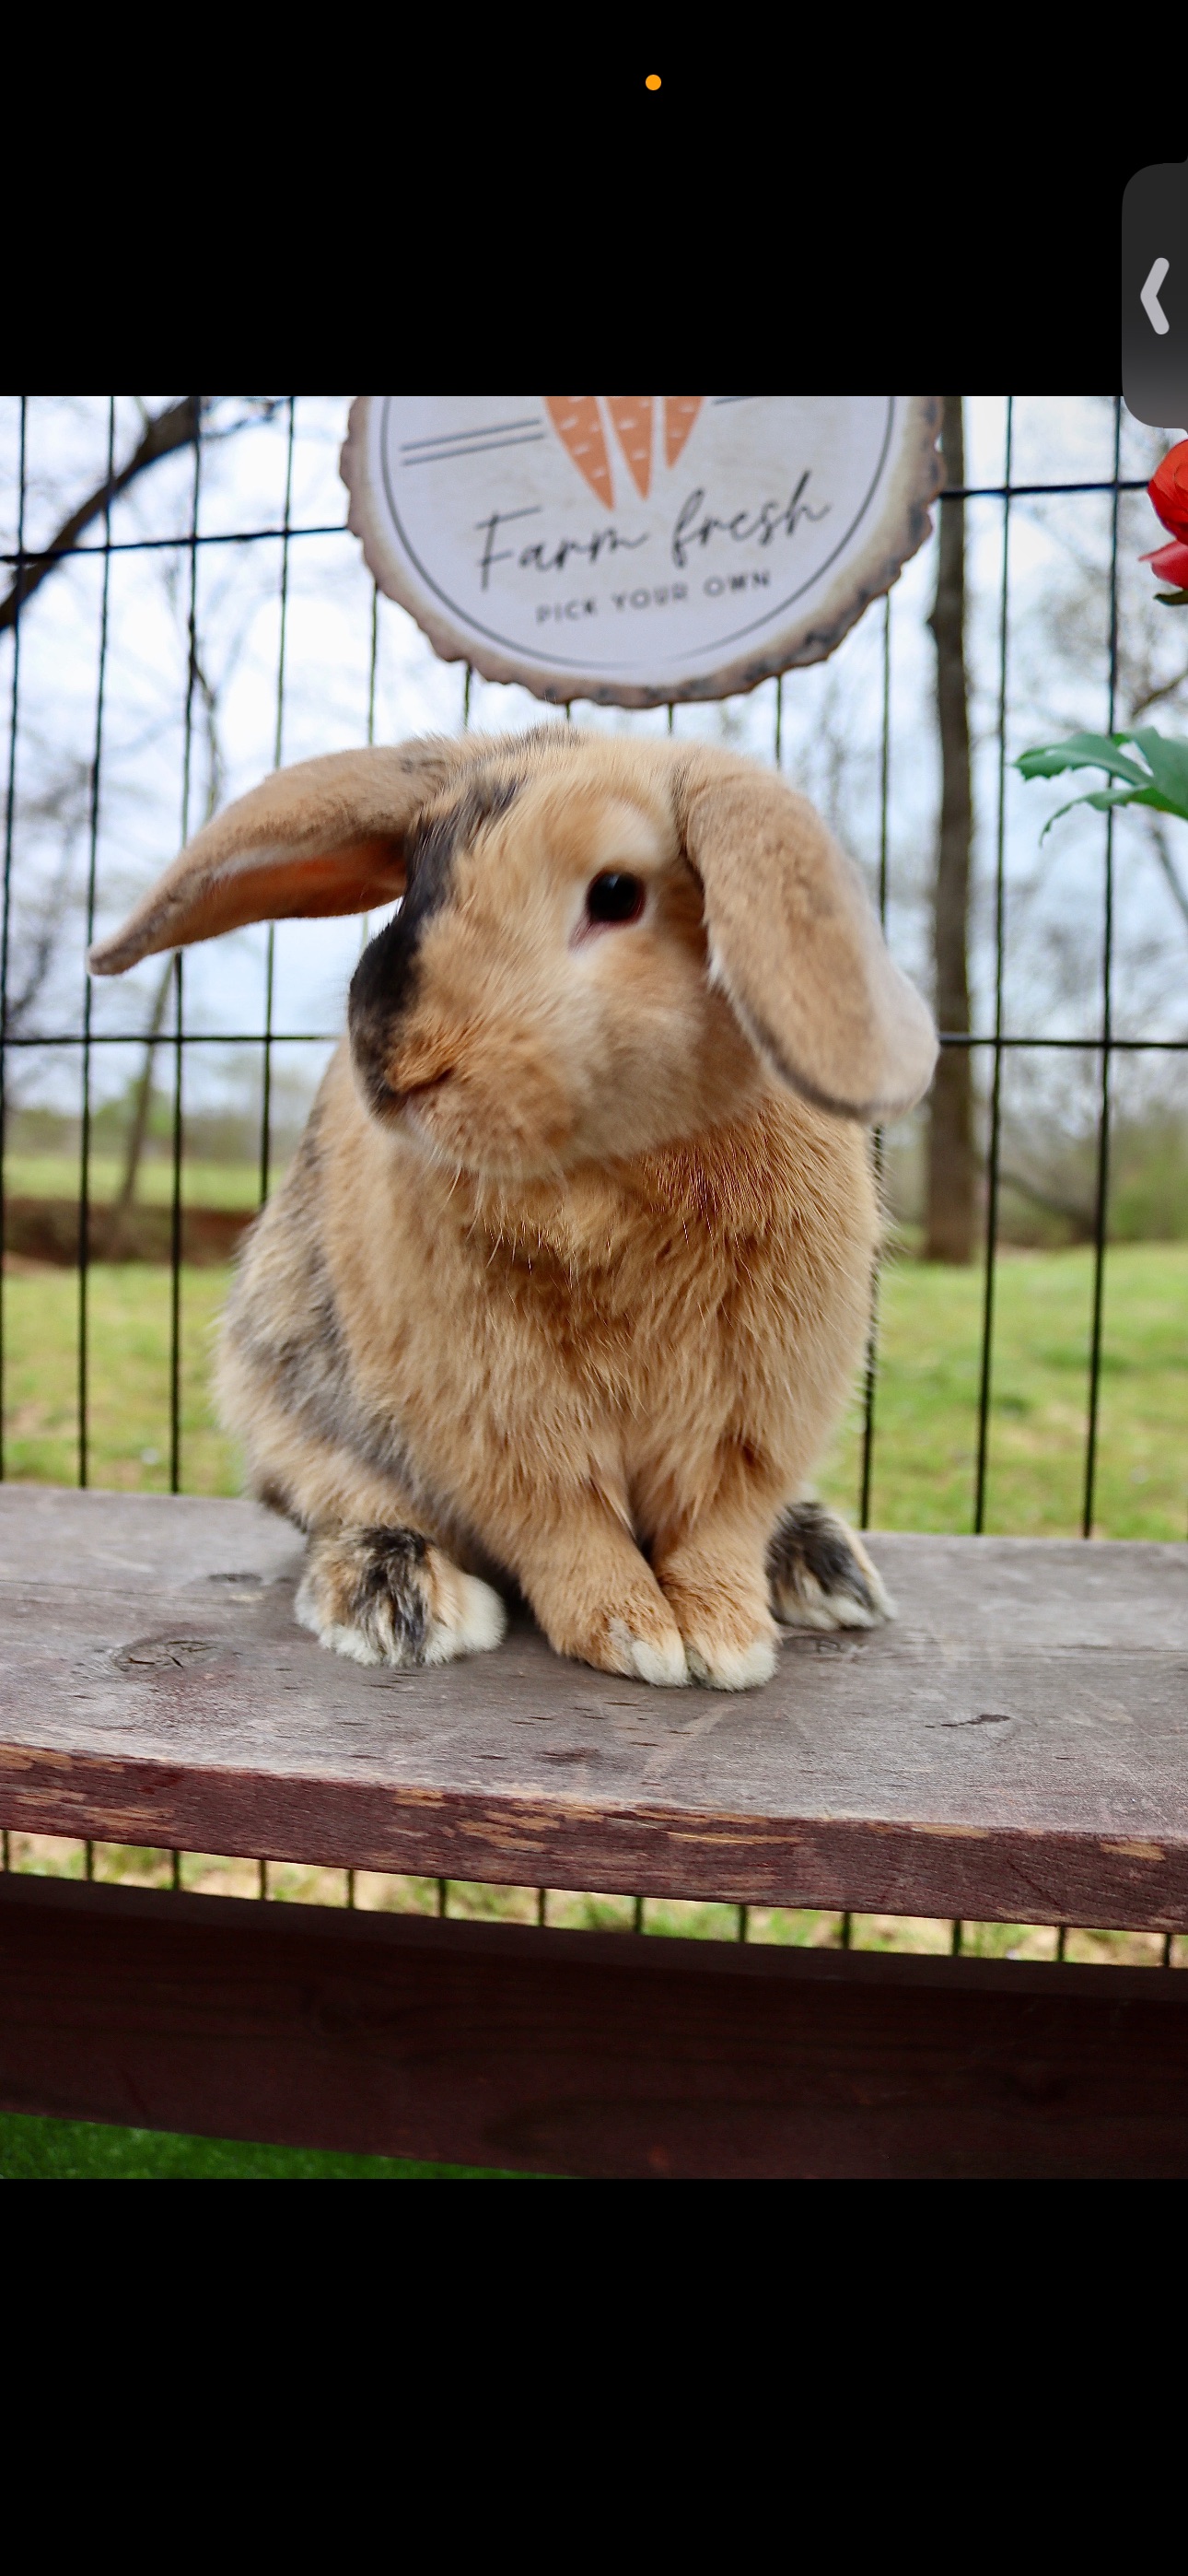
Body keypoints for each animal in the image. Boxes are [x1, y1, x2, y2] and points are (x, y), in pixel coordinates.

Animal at [89, 728, 936, 1690]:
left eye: (616, 894)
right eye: (415, 874)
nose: (394, 1065)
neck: (612, 1168)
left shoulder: (753, 1412)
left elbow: (714, 1528)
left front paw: (727, 1640)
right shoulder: (495, 1414)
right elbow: (566, 1526)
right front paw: (633, 1634)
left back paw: (823, 1567)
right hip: (284, 1409)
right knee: (344, 1509)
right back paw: (402, 1601)